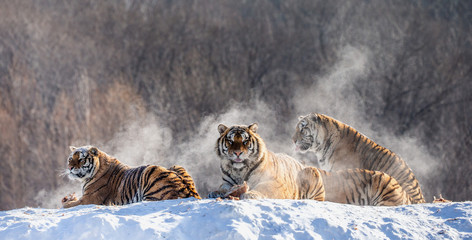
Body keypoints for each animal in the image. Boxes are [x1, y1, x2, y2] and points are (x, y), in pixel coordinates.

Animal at [61, 145, 201, 207]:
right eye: (70, 159)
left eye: (81, 159)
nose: (70, 168)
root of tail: (191, 193)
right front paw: (67, 198)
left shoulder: (90, 198)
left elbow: (69, 205)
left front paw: (66, 202)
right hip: (177, 166)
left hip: (150, 170)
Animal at [209, 123, 410, 205]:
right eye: (230, 141)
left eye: (244, 141)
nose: (237, 153)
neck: (239, 171)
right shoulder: (228, 182)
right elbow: (223, 188)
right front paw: (215, 193)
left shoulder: (274, 183)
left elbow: (262, 189)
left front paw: (250, 194)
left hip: (312, 173)